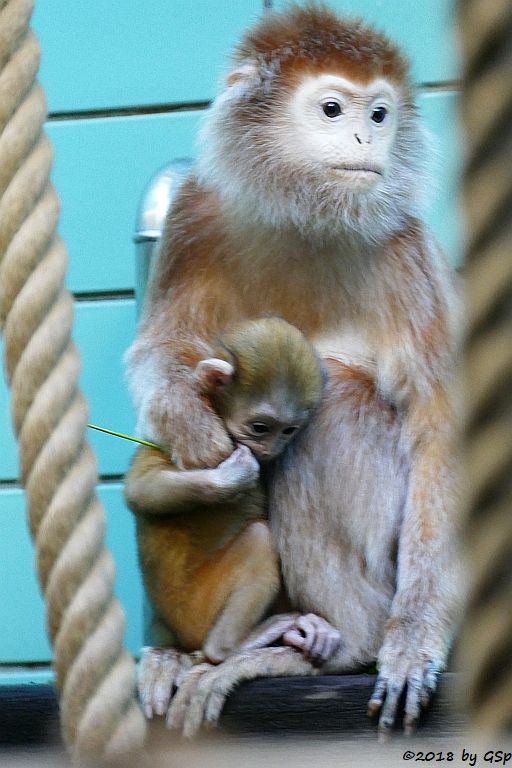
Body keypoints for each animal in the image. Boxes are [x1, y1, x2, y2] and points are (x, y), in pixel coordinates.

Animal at [124, 318, 322, 664]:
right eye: (260, 428)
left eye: (288, 430)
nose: (271, 449)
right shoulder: (177, 442)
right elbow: (141, 491)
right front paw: (233, 478)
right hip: (197, 611)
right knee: (259, 538)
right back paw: (229, 647)